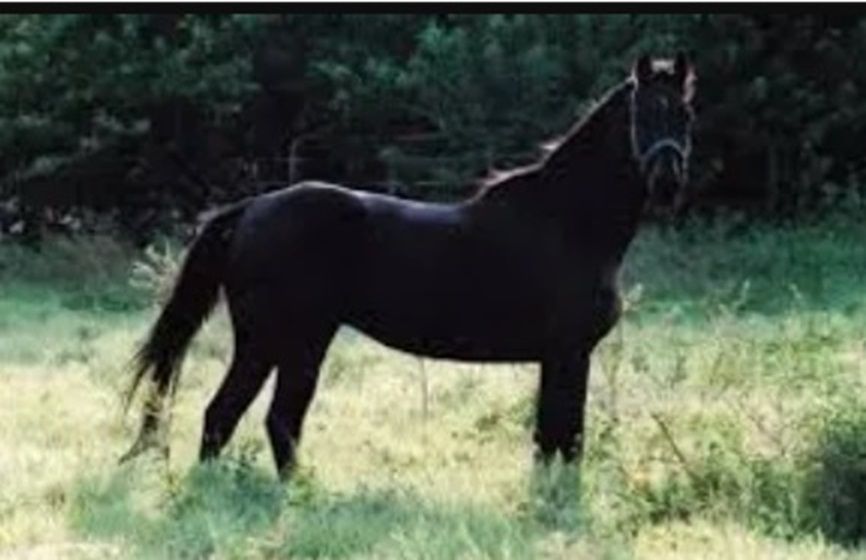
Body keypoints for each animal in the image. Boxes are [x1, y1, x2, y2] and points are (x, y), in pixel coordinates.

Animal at [121, 54, 696, 479]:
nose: (668, 182)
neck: (565, 222)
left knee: (260, 418)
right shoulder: (569, 352)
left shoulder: (561, 358)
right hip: (279, 339)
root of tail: (249, 210)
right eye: (642, 113)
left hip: (293, 341)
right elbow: (565, 440)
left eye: (685, 115)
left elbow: (551, 440)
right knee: (241, 416)